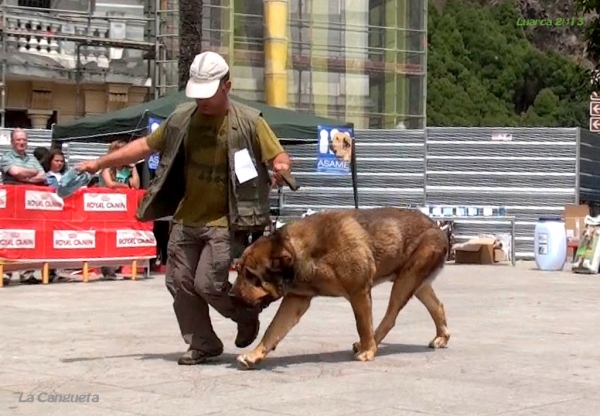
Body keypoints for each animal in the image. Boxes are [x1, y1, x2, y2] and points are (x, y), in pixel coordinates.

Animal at [230, 208, 450, 370]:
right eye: (238, 270)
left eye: (250, 275)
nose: (231, 294)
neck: (303, 252)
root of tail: (437, 227)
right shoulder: (296, 299)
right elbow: (273, 329)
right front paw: (254, 355)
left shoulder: (359, 291)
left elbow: (363, 325)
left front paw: (367, 351)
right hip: (415, 282)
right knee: (437, 306)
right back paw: (441, 337)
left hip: (405, 281)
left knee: (390, 317)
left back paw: (370, 345)